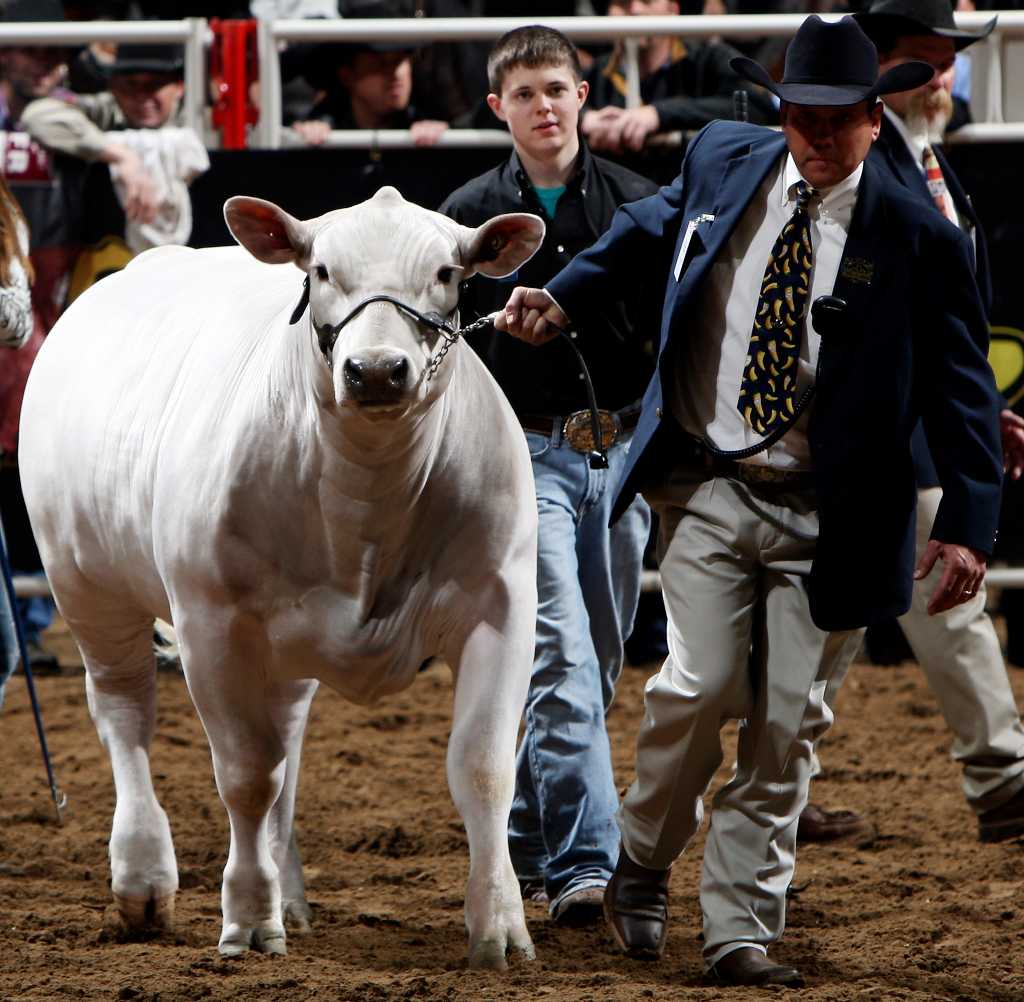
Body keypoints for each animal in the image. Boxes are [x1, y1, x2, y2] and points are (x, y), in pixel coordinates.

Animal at [18, 184, 544, 966]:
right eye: (320, 269)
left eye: (449, 272)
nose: (377, 370)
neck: (365, 500)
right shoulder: (211, 623)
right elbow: (244, 774)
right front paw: (247, 916)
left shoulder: (500, 602)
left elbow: (482, 767)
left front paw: (500, 925)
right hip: (84, 582)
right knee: (125, 713)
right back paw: (144, 877)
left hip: (286, 646)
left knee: (287, 746)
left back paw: (288, 893)